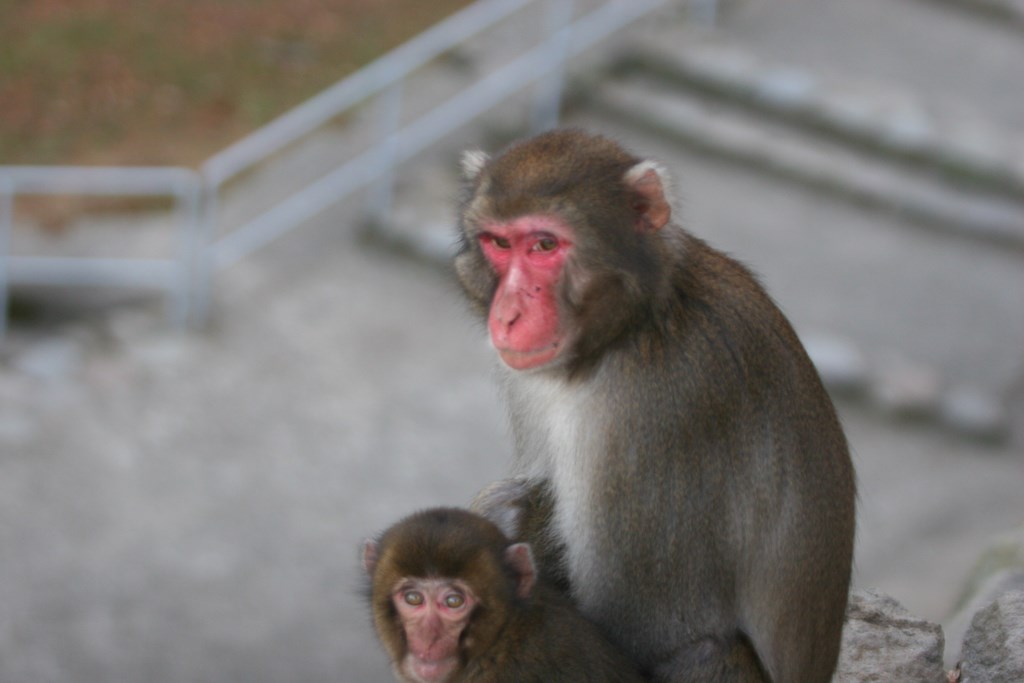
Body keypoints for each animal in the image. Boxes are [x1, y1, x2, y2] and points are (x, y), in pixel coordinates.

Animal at [456, 129, 856, 683]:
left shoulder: (655, 414)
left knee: (705, 652)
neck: (641, 320)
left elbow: (650, 636)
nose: (509, 314)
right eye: (498, 243)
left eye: (545, 245)